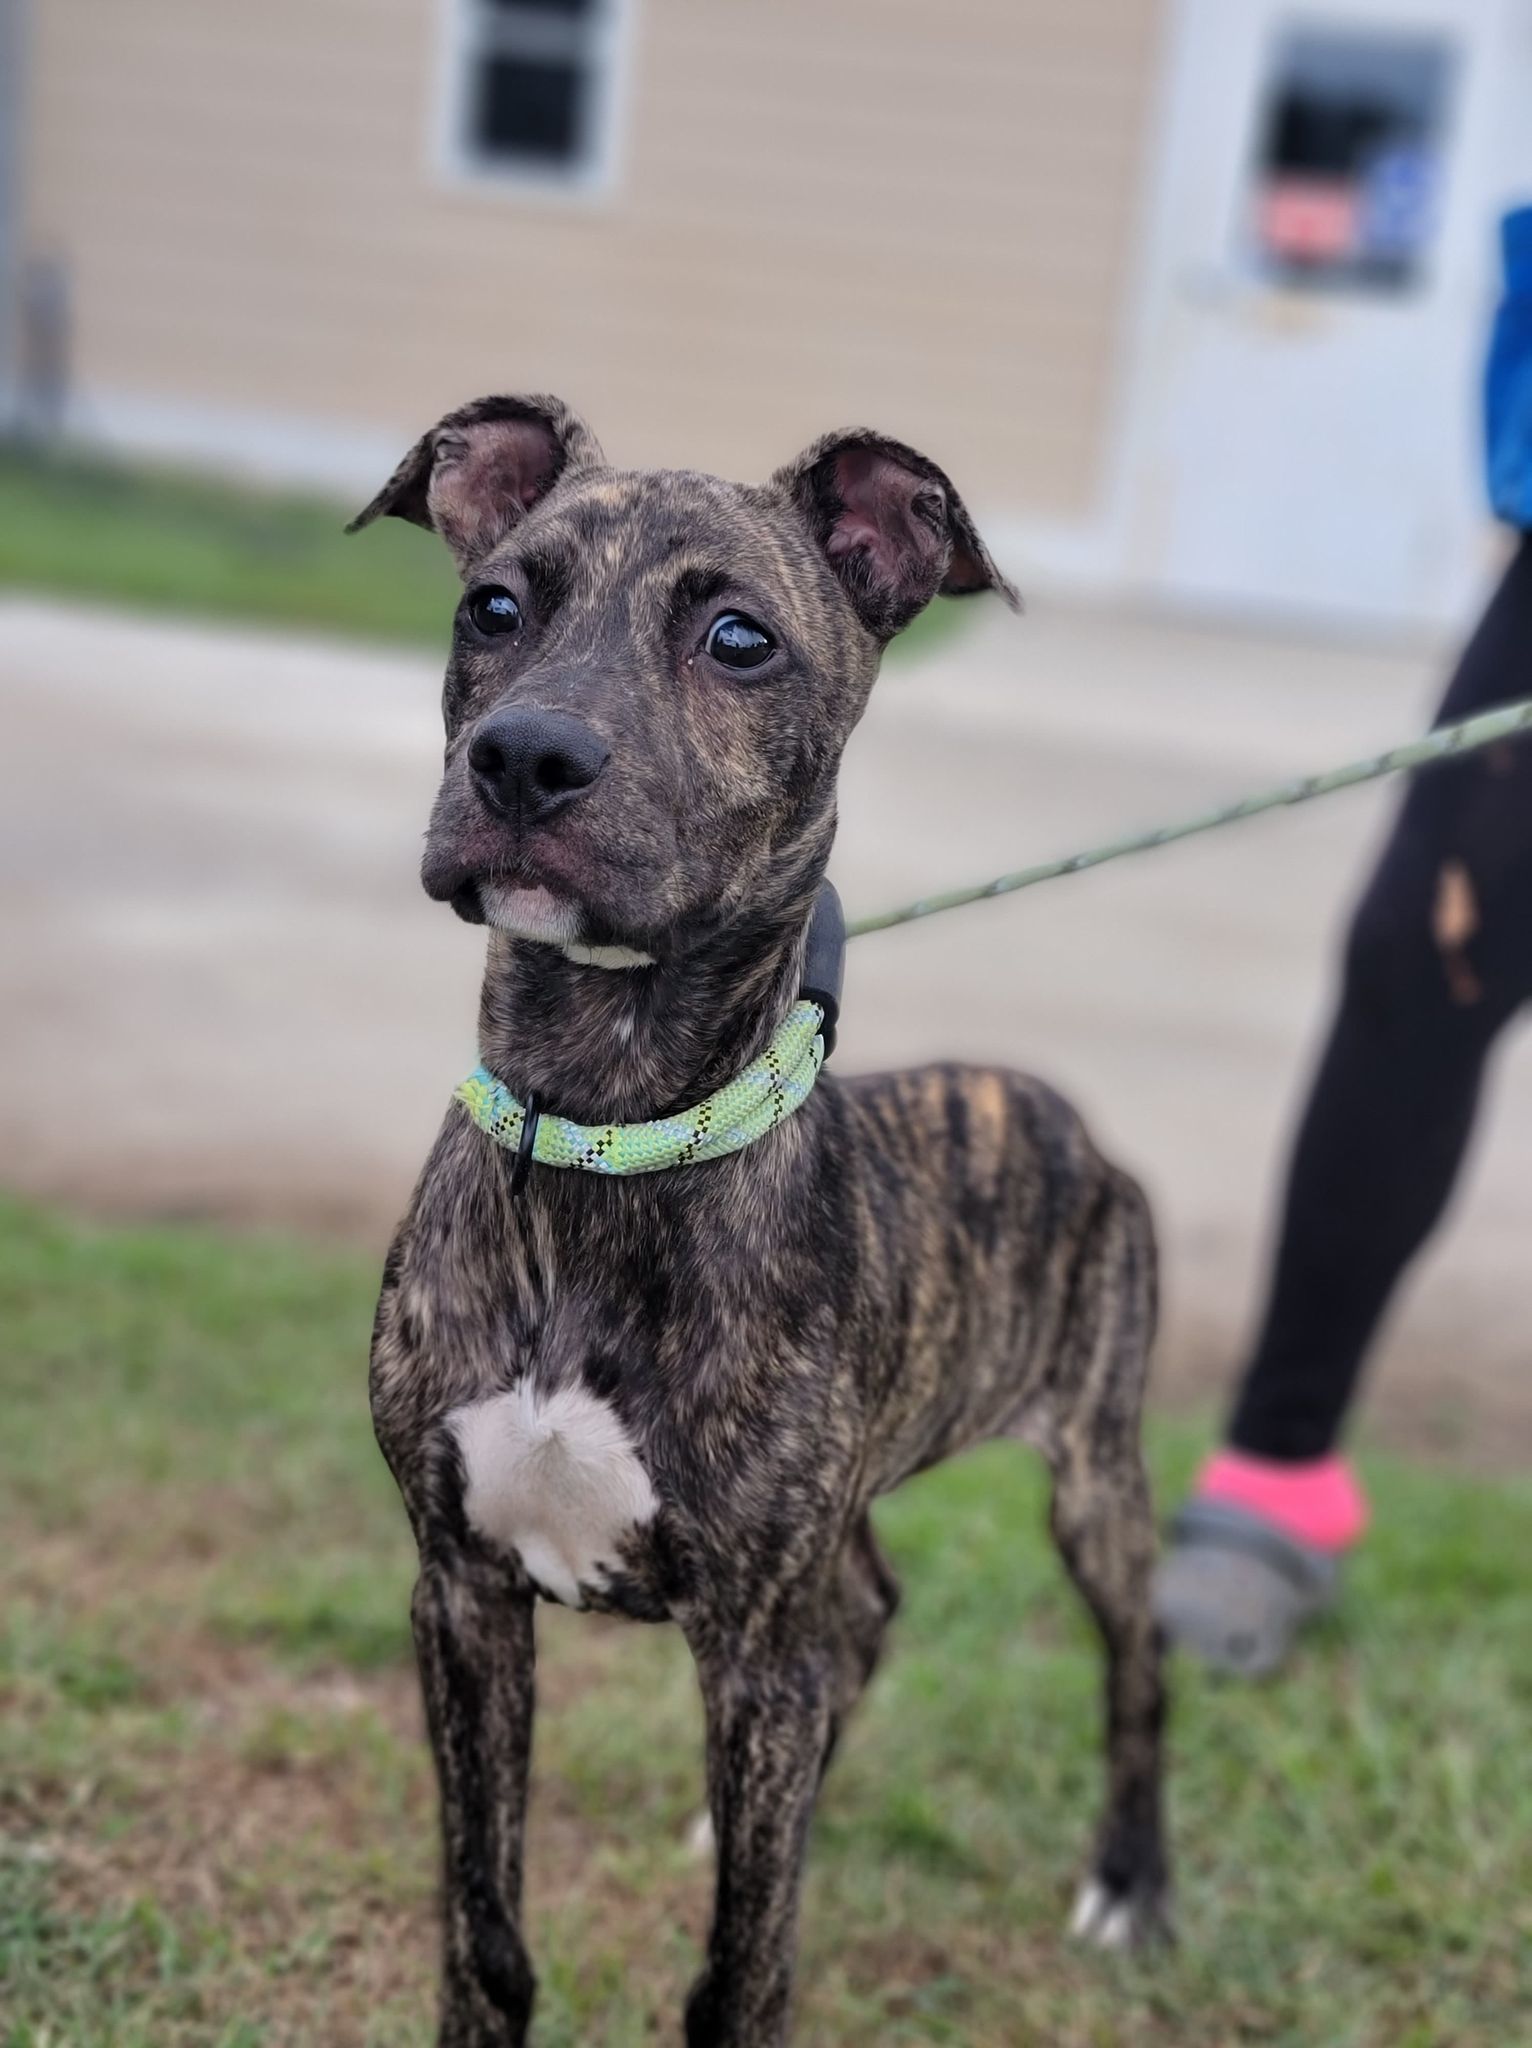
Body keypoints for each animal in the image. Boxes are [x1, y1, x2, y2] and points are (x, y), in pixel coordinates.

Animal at [356, 399, 1171, 2048]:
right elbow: (484, 1928)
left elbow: (742, 1974)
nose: (524, 756)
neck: (600, 1135)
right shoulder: (459, 1596)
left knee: (1138, 1664)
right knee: (864, 1616)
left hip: (1093, 1479)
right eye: (494, 607)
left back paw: (1130, 1882)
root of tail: (1058, 1112)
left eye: (739, 639)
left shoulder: (750, 1647)